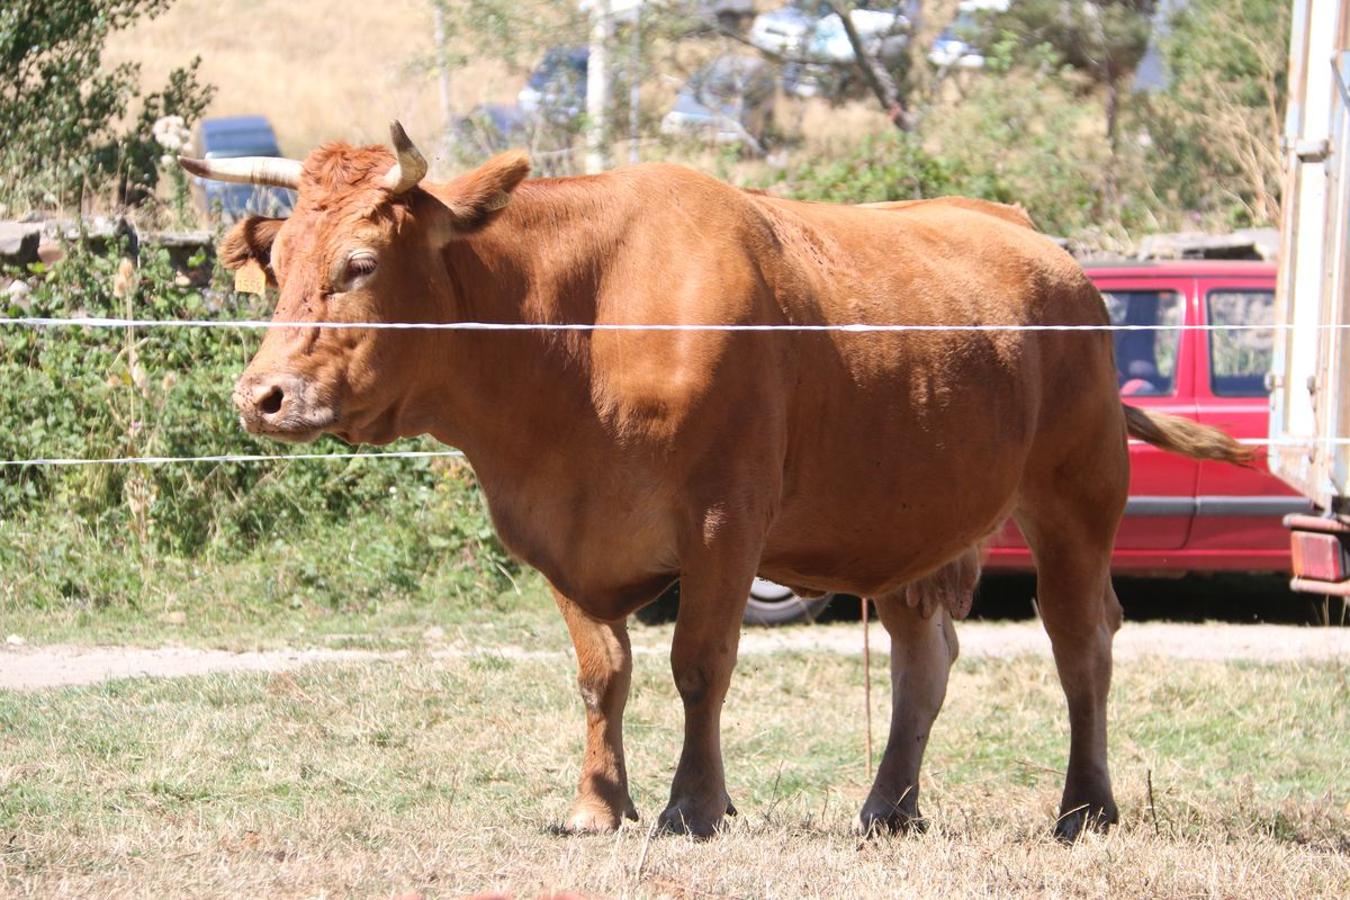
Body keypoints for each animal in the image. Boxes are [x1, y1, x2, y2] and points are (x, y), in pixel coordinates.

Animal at [179, 124, 1242, 847]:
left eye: (359, 264)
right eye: (278, 263)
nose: (262, 396)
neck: (574, 335)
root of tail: (1044, 244)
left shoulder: (726, 521)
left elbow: (699, 663)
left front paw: (693, 805)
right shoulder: (558, 536)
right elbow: (602, 673)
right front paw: (597, 805)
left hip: (1077, 492)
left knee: (1081, 643)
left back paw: (1084, 806)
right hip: (918, 517)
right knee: (923, 655)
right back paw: (889, 807)